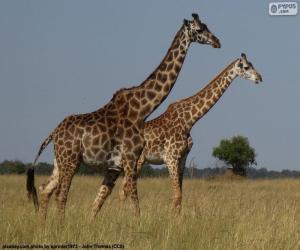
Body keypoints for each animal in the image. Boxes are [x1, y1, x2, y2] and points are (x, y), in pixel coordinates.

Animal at [27, 12, 221, 220]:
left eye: (207, 25)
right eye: (199, 29)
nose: (217, 41)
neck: (142, 110)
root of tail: (53, 133)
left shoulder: (117, 164)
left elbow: (102, 201)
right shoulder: (130, 158)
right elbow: (134, 202)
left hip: (60, 162)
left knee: (45, 188)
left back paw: (43, 224)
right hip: (70, 160)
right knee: (61, 195)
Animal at [119, 52, 262, 211]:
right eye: (246, 67)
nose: (259, 78)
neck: (190, 120)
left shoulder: (183, 158)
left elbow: (180, 197)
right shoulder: (171, 158)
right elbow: (177, 195)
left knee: (123, 190)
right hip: (136, 161)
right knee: (125, 189)